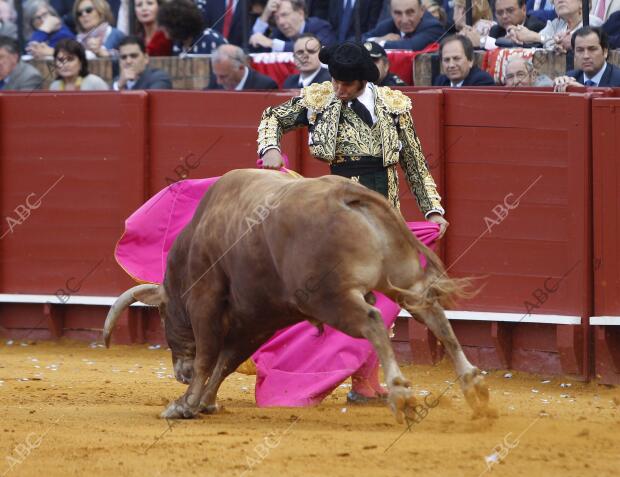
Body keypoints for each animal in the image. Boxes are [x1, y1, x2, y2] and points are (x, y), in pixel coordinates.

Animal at [105, 169, 494, 422]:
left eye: (163, 314)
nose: (180, 375)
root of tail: (346, 194)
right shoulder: (258, 319)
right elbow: (226, 361)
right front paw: (203, 403)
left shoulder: (205, 301)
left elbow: (208, 357)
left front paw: (185, 405)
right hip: (402, 279)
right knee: (433, 315)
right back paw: (475, 390)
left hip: (329, 298)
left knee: (371, 322)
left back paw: (402, 394)